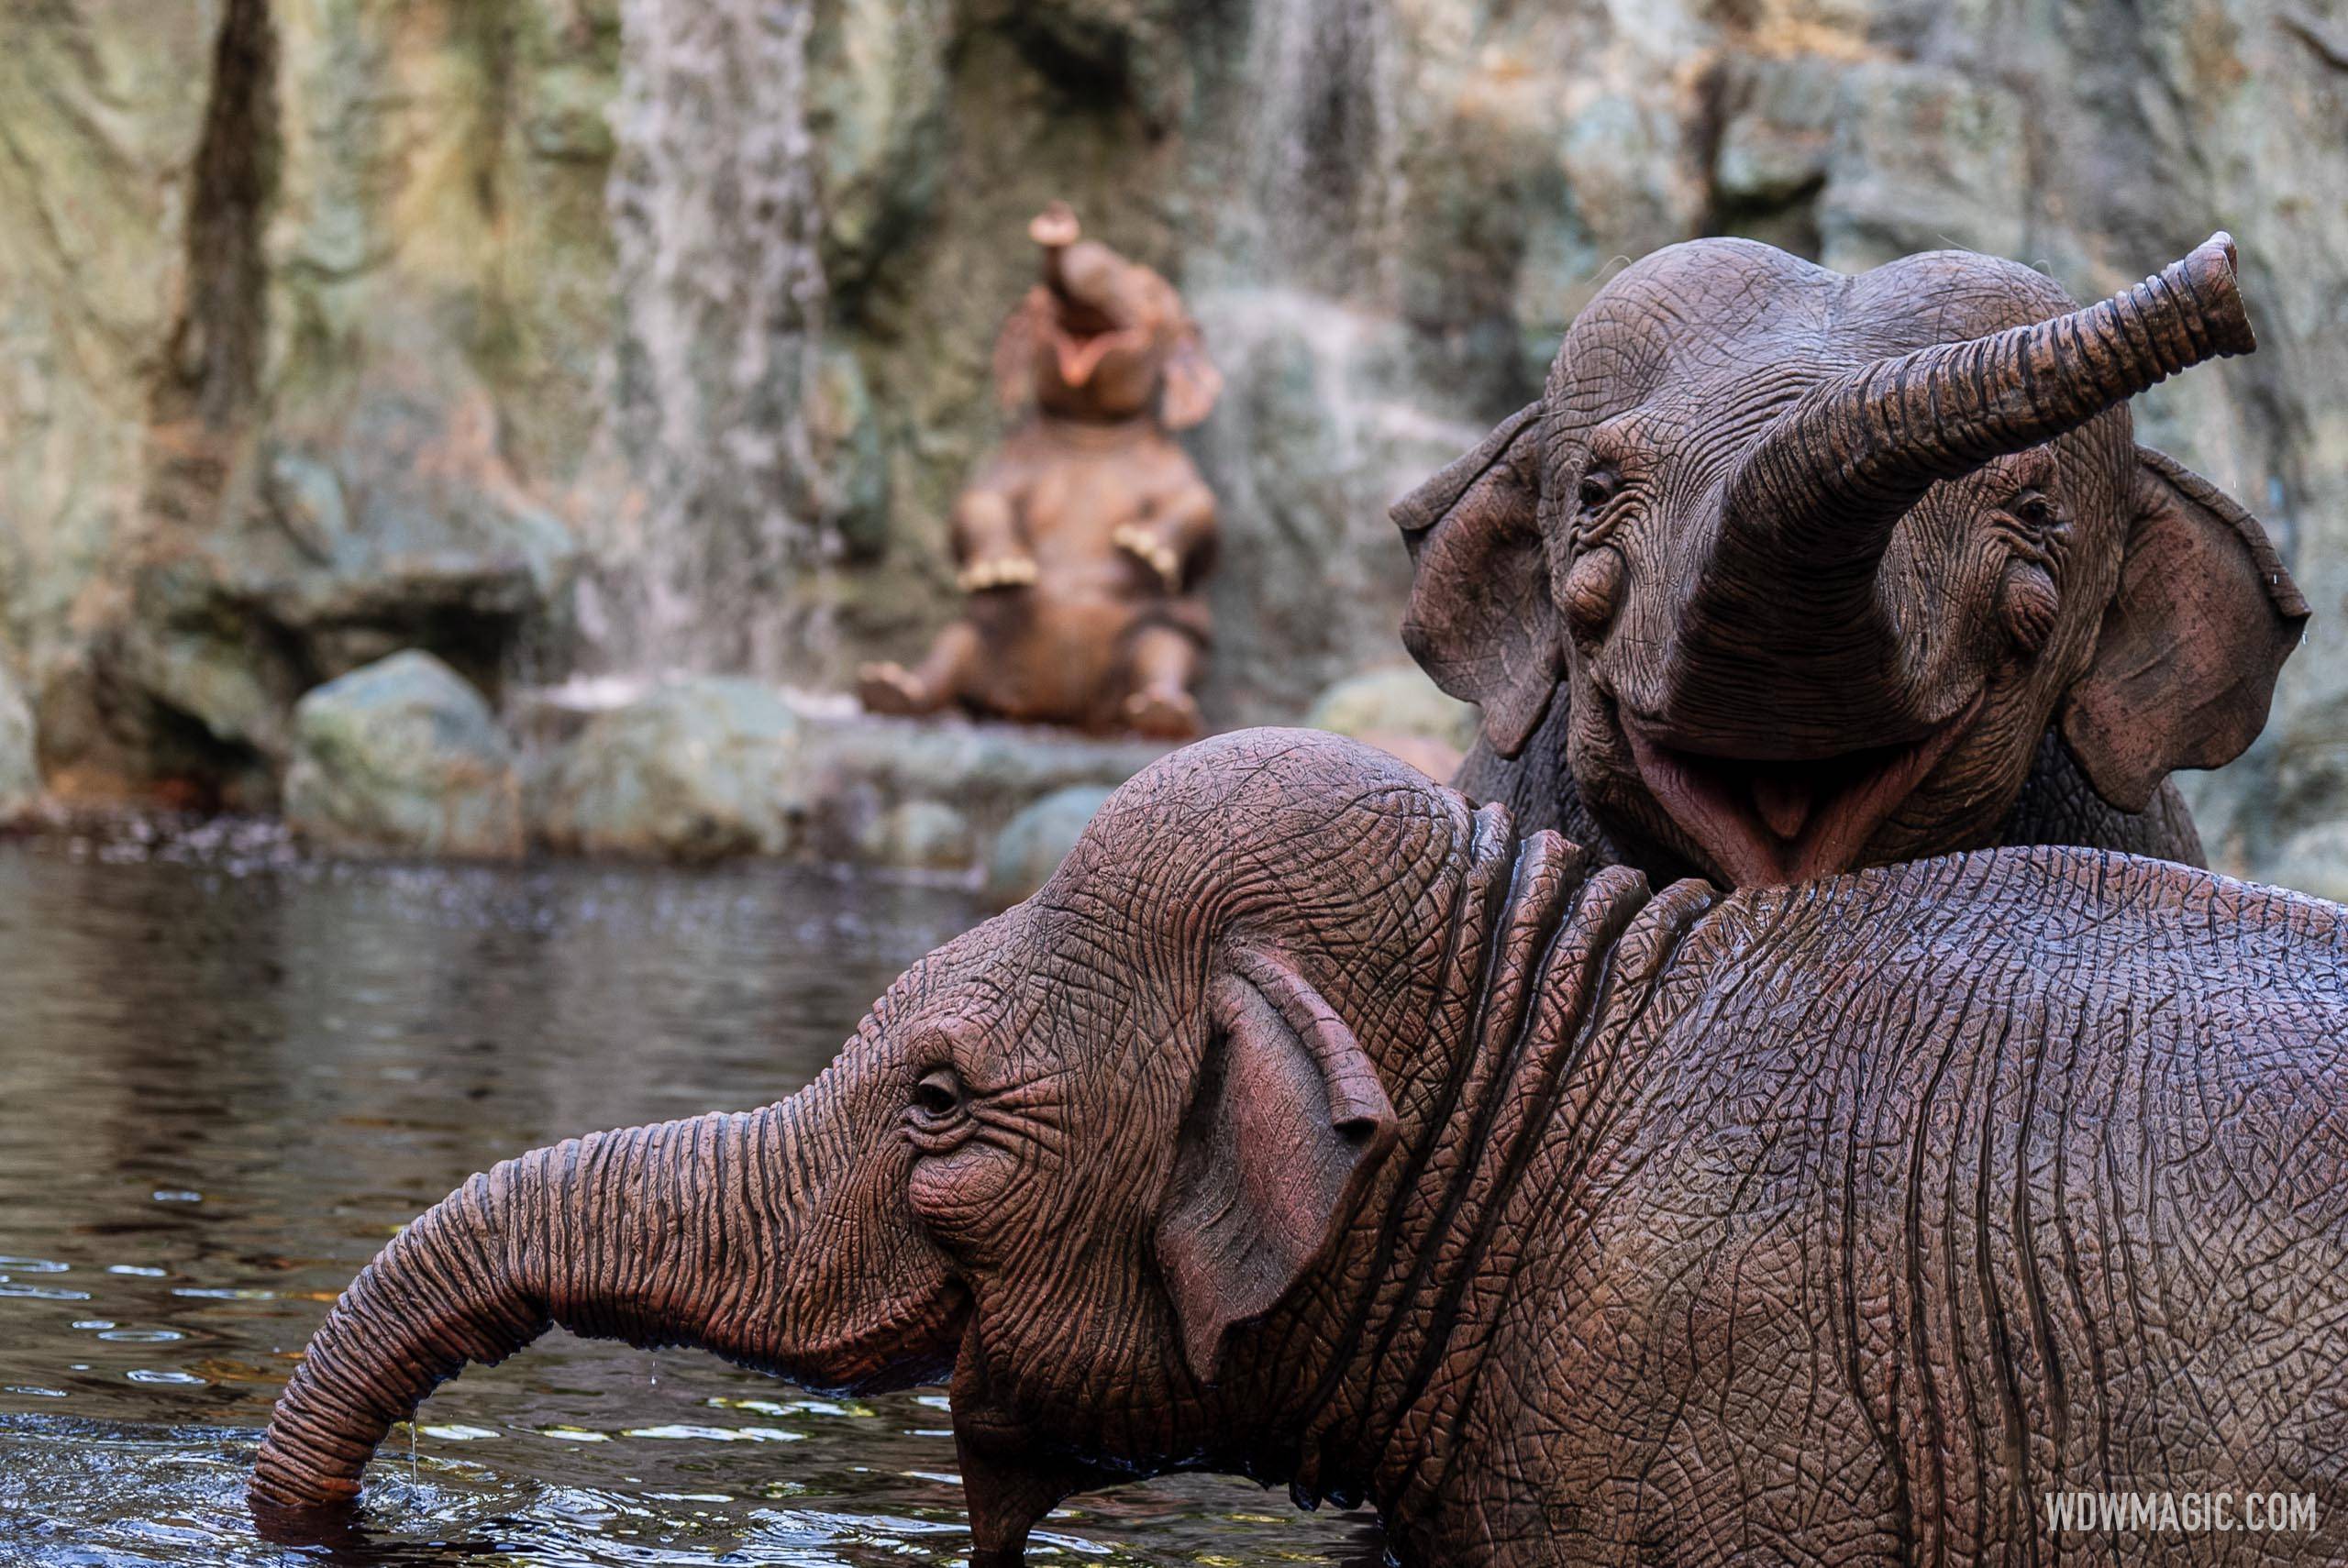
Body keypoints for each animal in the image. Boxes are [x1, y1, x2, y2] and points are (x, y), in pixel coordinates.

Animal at [864, 204, 1230, 741]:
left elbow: (1204, 509)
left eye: (1147, 294)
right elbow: (976, 499)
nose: (1057, 219)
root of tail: (1062, 713)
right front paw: (1002, 567)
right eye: (1038, 307)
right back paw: (894, 690)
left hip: (1157, 632)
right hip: (985, 636)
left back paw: (1163, 713)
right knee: (955, 643)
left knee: (1166, 646)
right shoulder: (1017, 454)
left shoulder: (1169, 461)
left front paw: (1144, 545)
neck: (1091, 431)